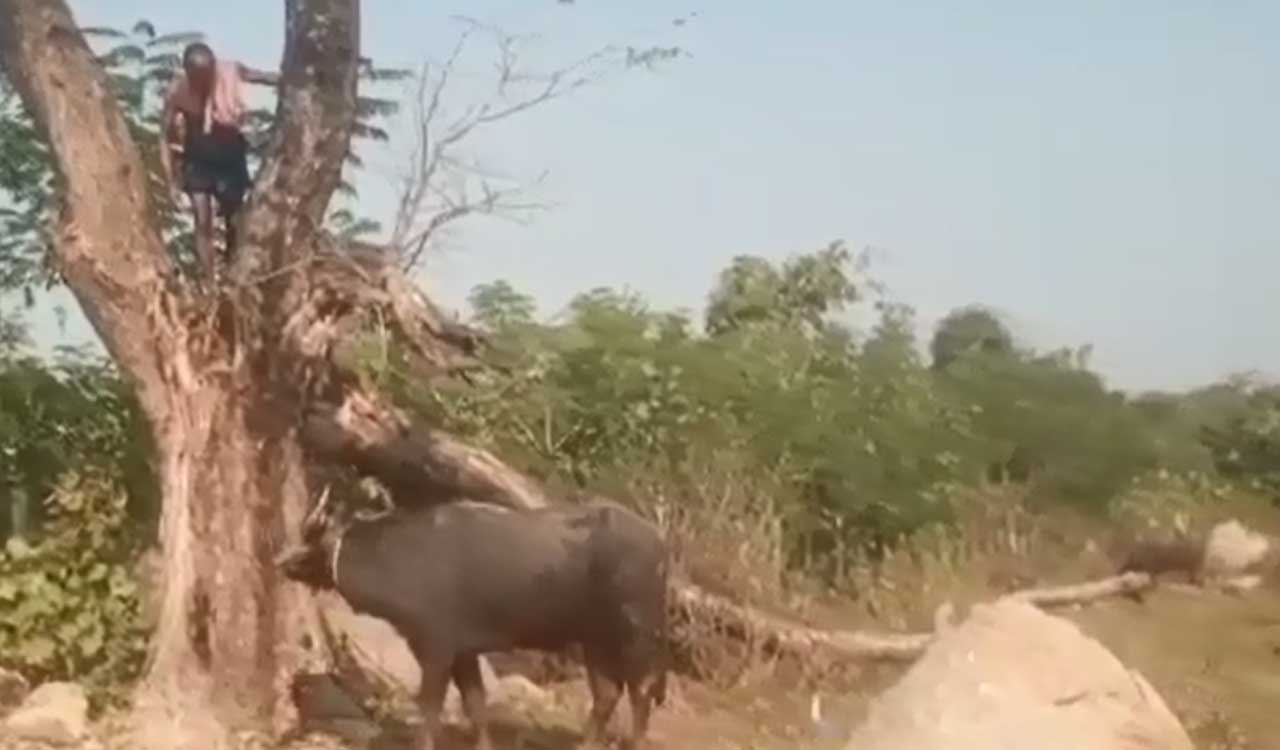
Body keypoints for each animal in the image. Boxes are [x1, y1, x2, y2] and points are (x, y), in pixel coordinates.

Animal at [274, 487, 670, 750]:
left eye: (311, 543)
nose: (282, 561)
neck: (400, 558)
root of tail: (661, 543)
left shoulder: (435, 647)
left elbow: (430, 708)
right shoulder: (465, 652)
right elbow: (475, 705)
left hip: (634, 633)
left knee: (642, 692)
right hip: (594, 640)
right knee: (607, 694)